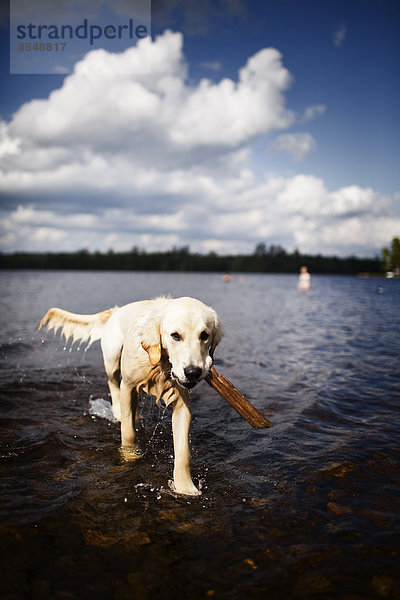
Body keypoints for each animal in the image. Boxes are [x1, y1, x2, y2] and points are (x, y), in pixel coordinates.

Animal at [39, 296, 222, 496]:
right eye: (175, 335)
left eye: (204, 335)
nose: (193, 372)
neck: (159, 363)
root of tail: (117, 309)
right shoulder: (127, 386)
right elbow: (127, 433)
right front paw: (129, 456)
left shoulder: (182, 402)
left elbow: (183, 452)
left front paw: (185, 487)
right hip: (112, 358)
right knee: (112, 382)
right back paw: (117, 410)